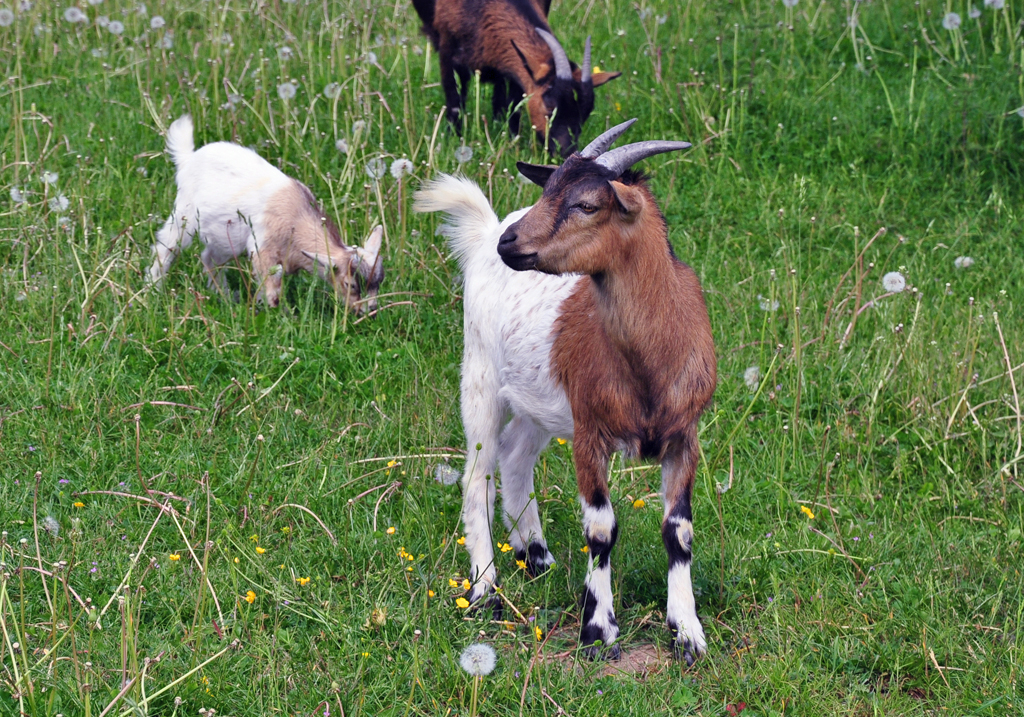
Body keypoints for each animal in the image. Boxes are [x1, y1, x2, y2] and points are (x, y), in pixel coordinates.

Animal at [146, 114, 382, 311]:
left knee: (209, 258)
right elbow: (272, 290)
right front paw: (278, 315)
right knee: (165, 248)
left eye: (378, 284)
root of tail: (189, 158)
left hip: (227, 236)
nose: (370, 311)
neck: (297, 218)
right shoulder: (263, 251)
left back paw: (224, 296)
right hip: (184, 215)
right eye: (350, 285)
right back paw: (153, 289)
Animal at [411, 0, 618, 156]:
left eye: (586, 113)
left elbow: (512, 104)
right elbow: (454, 99)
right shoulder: (448, 52)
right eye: (549, 106)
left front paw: (511, 139)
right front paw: (454, 136)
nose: (566, 152)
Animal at [411, 120, 716, 663]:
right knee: (476, 477)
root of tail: (485, 230)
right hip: (480, 376)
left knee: (515, 457)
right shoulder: (591, 431)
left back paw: (536, 556)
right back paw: (485, 589)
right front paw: (597, 629)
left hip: (541, 402)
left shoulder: (685, 435)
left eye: (586, 204)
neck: (649, 363)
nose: (510, 243)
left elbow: (678, 529)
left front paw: (687, 631)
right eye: (548, 189)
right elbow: (601, 529)